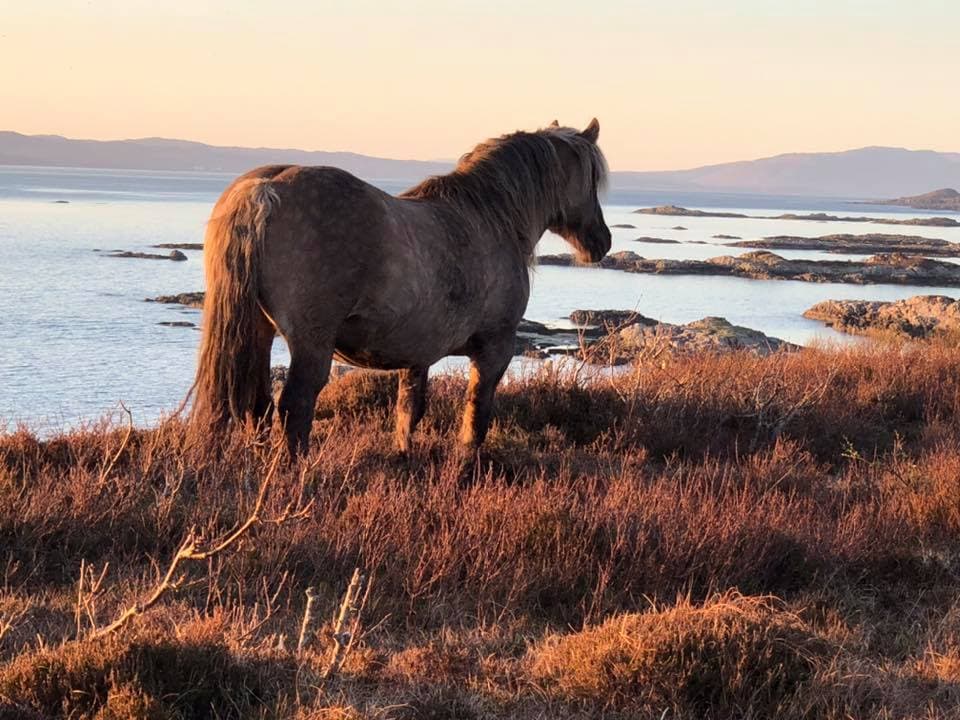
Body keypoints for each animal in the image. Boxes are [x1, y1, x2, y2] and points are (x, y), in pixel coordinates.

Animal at [192, 119, 611, 457]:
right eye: (591, 179)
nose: (601, 241)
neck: (490, 218)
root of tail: (265, 187)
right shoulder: (495, 349)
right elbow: (475, 418)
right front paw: (464, 470)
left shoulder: (417, 354)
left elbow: (408, 411)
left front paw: (403, 457)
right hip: (310, 344)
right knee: (295, 407)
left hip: (259, 332)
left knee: (257, 404)